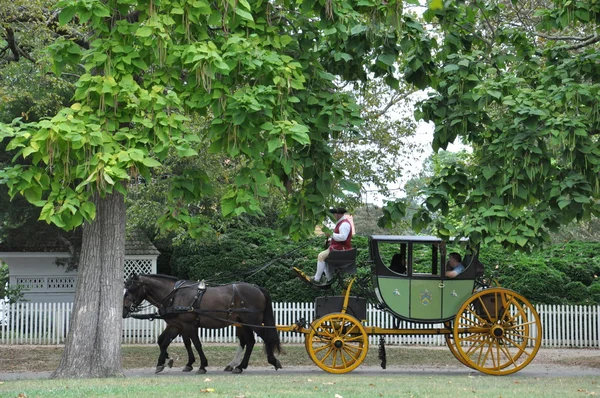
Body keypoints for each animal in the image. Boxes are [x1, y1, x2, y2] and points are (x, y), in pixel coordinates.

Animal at [123, 274, 282, 374]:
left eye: (131, 289)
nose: (124, 309)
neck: (174, 295)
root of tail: (257, 288)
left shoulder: (188, 325)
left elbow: (196, 344)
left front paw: (202, 365)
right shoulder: (176, 325)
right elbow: (163, 341)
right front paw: (165, 361)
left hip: (252, 322)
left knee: (264, 338)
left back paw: (272, 361)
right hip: (243, 324)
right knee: (249, 342)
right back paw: (239, 366)